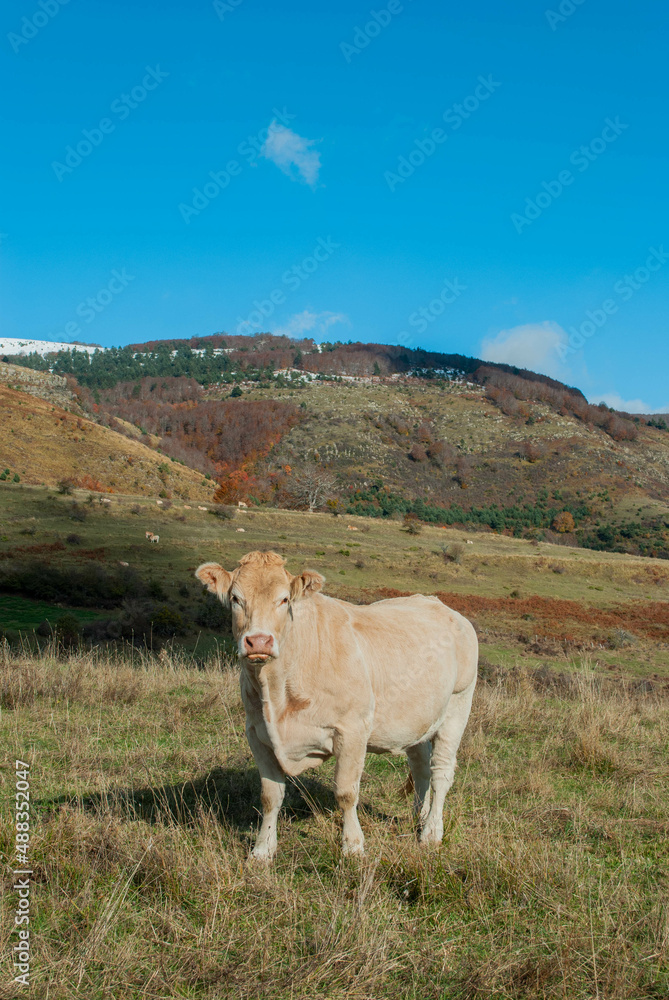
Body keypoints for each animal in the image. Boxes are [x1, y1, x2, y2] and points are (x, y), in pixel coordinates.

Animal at [195, 550, 477, 861]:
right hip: (417, 719)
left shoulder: (351, 730)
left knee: (441, 771)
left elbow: (346, 792)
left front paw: (353, 846)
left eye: (284, 599)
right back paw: (421, 817)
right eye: (236, 598)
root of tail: (440, 604)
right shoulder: (257, 733)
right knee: (421, 768)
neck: (278, 693)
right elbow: (270, 796)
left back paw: (431, 832)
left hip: (458, 705)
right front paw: (262, 850)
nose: (259, 641)